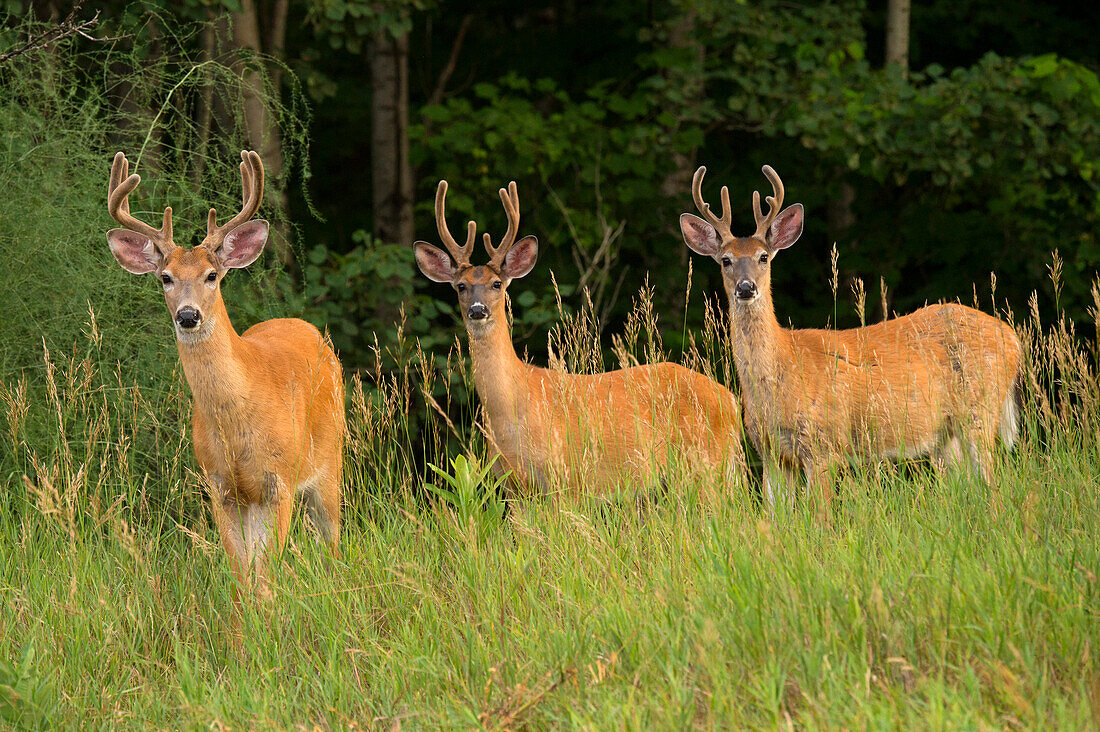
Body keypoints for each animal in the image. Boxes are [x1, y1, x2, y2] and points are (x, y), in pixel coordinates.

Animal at [103, 149, 343, 594]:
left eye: (212, 275)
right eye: (165, 278)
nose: (188, 315)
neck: (237, 418)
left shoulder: (279, 481)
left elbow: (265, 575)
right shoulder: (219, 485)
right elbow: (240, 574)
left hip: (329, 462)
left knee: (334, 544)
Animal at [413, 179, 748, 497]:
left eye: (497, 283)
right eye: (460, 286)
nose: (477, 310)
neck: (512, 407)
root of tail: (730, 400)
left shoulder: (567, 476)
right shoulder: (513, 486)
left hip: (709, 464)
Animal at [677, 165, 1020, 508]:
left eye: (763, 256)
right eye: (726, 260)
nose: (746, 288)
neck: (781, 373)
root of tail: (1012, 337)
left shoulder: (824, 443)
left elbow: (822, 515)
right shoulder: (771, 453)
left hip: (981, 408)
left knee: (993, 484)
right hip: (944, 434)